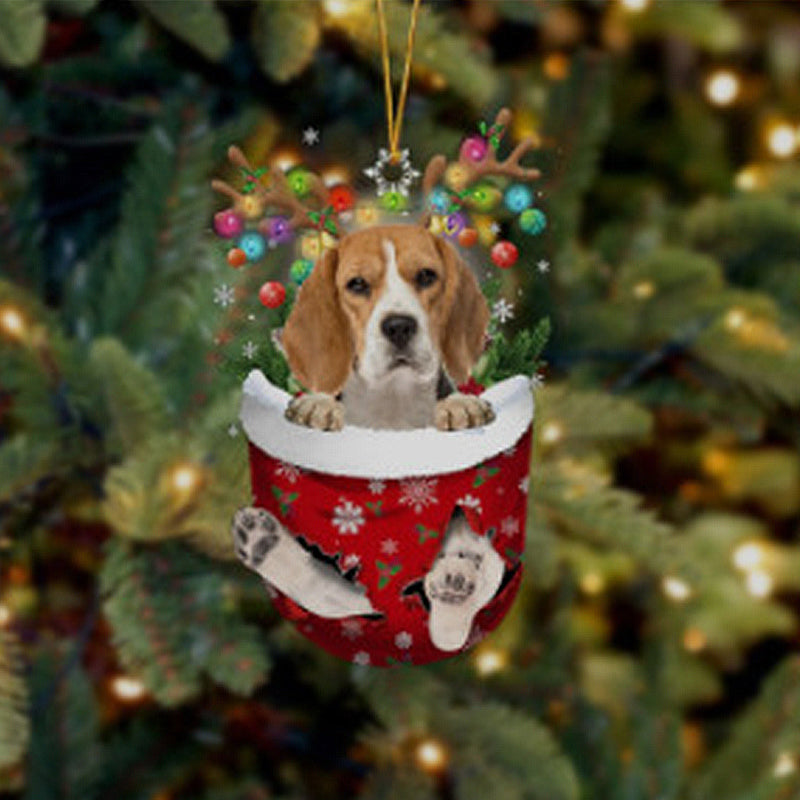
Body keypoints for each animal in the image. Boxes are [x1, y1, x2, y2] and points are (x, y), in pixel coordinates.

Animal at [280, 222, 494, 434]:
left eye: (426, 275)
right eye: (357, 283)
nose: (399, 326)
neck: (392, 396)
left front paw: (458, 403)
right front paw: (320, 402)